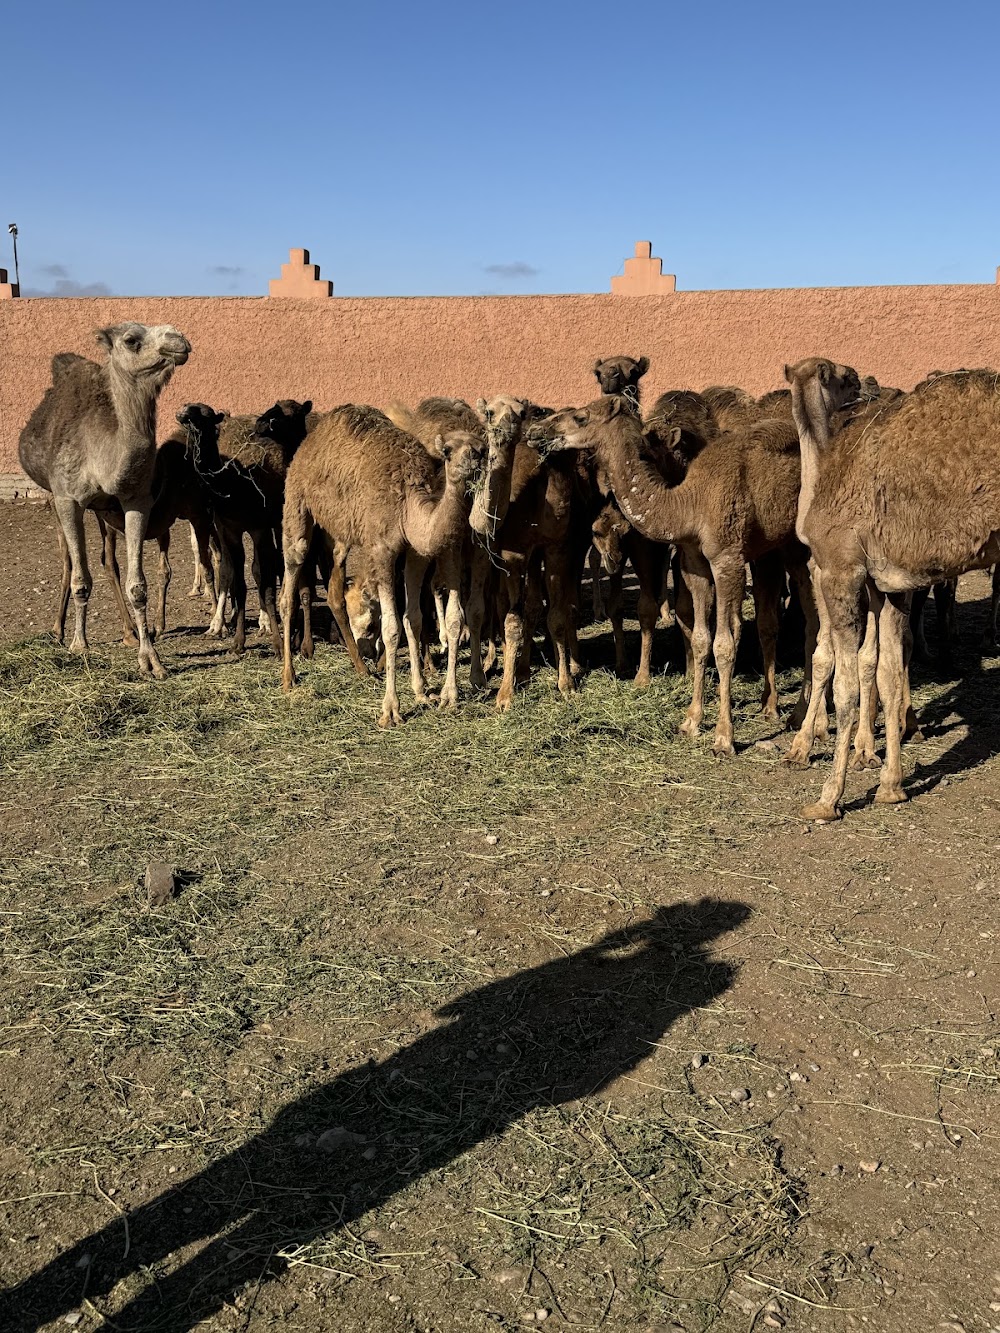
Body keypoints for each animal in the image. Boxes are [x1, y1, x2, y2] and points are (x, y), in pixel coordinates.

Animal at [18, 321, 192, 677]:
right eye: (131, 340)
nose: (178, 340)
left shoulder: (135, 499)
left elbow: (137, 585)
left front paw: (150, 659)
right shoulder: (67, 498)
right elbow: (80, 578)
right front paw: (79, 644)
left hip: (102, 510)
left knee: (107, 559)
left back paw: (127, 632)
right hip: (52, 495)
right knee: (68, 560)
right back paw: (58, 630)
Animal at [282, 402, 485, 730]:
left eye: (482, 447)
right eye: (448, 450)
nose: (474, 458)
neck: (409, 504)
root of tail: (309, 442)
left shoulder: (415, 552)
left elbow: (414, 618)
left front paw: (424, 693)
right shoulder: (382, 549)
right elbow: (390, 628)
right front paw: (390, 710)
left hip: (337, 532)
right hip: (297, 500)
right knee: (290, 579)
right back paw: (289, 677)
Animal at [528, 389, 816, 757]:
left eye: (580, 417)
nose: (537, 431)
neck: (689, 504)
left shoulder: (727, 558)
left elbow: (725, 643)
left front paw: (723, 738)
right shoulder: (693, 561)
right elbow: (701, 637)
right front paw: (691, 721)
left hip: (799, 547)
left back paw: (806, 719)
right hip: (774, 549)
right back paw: (785, 711)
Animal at [784, 367, 1000, 821]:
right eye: (843, 377)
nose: (865, 381)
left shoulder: (840, 568)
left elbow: (845, 683)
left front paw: (828, 798)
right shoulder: (890, 582)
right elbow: (887, 671)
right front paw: (890, 786)